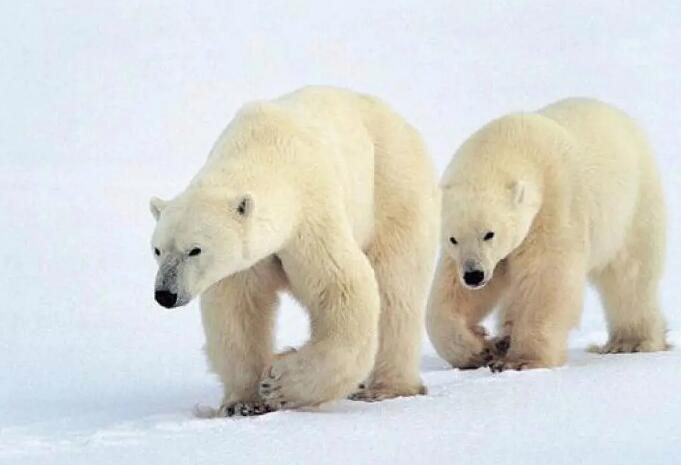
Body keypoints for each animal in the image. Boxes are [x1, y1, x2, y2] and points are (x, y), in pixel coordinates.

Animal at [149, 86, 440, 415]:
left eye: (195, 250)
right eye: (157, 250)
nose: (165, 294)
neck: (265, 149)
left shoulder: (310, 217)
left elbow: (342, 289)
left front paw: (280, 383)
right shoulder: (250, 258)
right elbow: (238, 310)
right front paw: (243, 403)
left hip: (394, 189)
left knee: (397, 289)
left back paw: (387, 388)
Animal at [427, 98, 667, 372]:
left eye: (489, 234)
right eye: (452, 238)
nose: (474, 275)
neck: (513, 143)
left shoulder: (555, 204)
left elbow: (547, 277)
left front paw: (520, 361)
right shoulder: (470, 256)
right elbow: (452, 293)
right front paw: (480, 350)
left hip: (632, 211)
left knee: (629, 277)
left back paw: (630, 342)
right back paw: (504, 338)